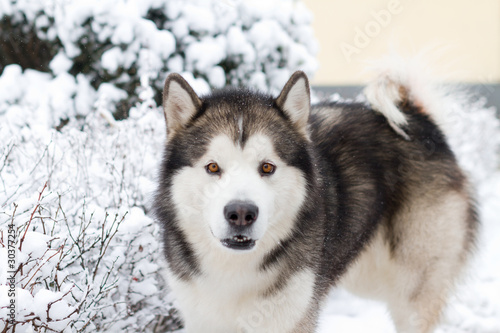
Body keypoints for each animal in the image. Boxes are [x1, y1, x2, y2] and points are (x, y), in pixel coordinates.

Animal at [154, 65, 478, 332]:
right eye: (213, 167)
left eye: (267, 167)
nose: (241, 214)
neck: (233, 269)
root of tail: (421, 125)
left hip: (412, 288)